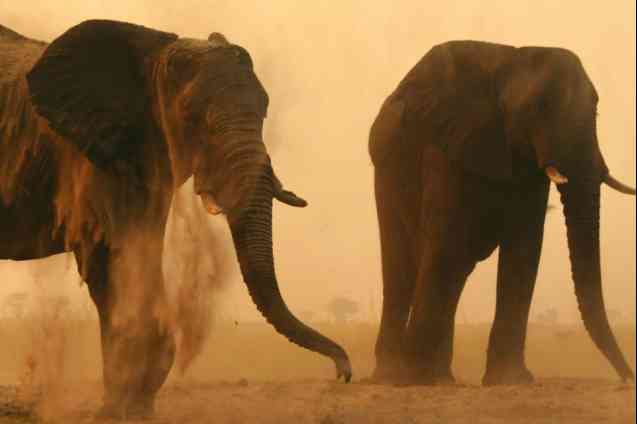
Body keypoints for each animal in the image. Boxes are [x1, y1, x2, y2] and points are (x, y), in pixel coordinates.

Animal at [0, 19, 352, 418]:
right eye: (197, 120)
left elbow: (140, 255)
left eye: (264, 111)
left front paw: (134, 408)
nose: (343, 373)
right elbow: (111, 262)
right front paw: (119, 411)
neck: (154, 53)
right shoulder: (90, 157)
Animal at [370, 40, 632, 388]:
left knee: (455, 269)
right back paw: (394, 377)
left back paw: (441, 378)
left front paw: (511, 380)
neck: (512, 59)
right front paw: (417, 379)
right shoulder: (450, 143)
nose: (627, 378)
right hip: (387, 172)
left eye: (596, 111)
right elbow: (446, 242)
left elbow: (524, 248)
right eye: (539, 108)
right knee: (406, 266)